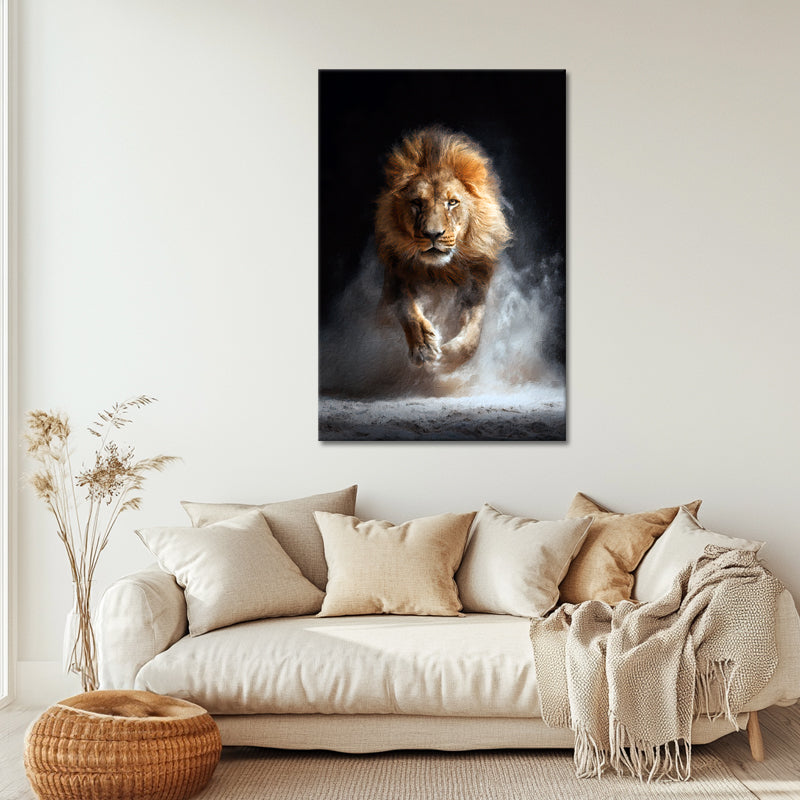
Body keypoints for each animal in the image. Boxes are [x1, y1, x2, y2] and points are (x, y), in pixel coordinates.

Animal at [375, 126, 512, 370]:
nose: (433, 234)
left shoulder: (477, 283)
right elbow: (406, 308)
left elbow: (473, 330)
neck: (441, 271)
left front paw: (448, 357)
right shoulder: (395, 274)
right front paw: (424, 347)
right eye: (417, 203)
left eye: (452, 202)